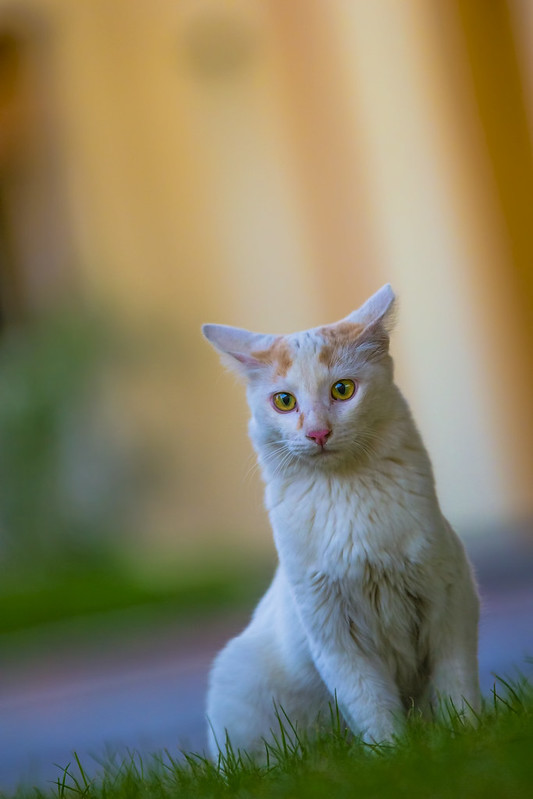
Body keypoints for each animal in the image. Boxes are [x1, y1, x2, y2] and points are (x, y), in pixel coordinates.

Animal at [202, 284, 480, 758]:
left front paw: (467, 737)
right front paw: (394, 757)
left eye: (343, 389)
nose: (317, 432)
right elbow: (370, 704)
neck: (346, 495)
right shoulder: (333, 634)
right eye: (284, 401)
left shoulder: (450, 603)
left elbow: (455, 686)